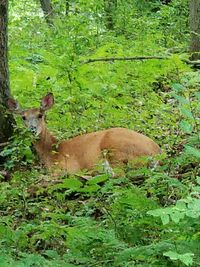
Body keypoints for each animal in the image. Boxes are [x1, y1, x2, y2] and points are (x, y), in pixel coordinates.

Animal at [7, 93, 162, 177]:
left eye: (40, 115)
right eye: (23, 117)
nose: (32, 129)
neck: (52, 152)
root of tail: (158, 152)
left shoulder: (65, 167)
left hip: (115, 146)